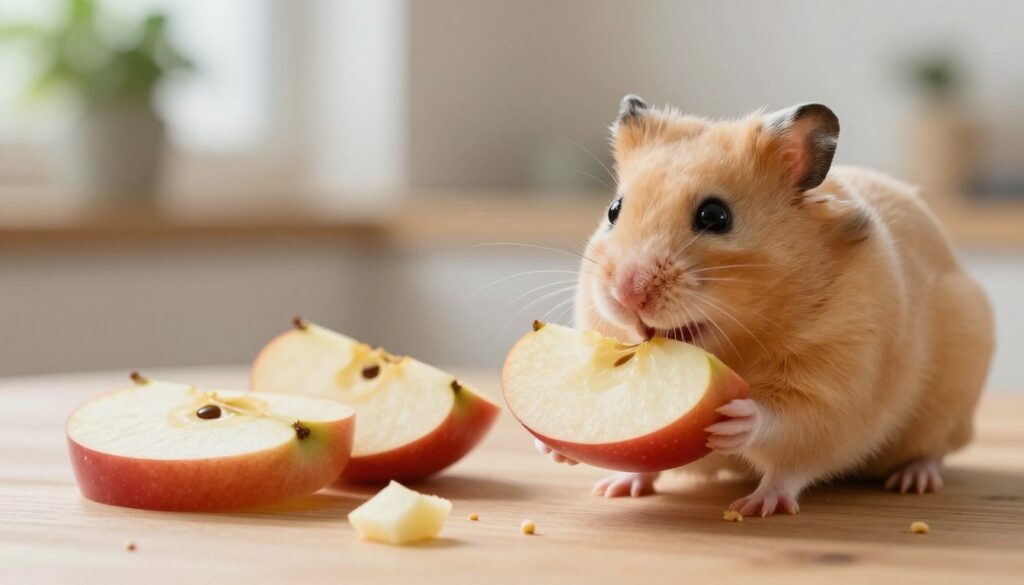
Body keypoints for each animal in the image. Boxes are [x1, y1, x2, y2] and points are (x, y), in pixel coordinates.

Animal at [537, 95, 994, 516]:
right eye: (614, 210)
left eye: (715, 216)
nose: (627, 293)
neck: (738, 340)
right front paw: (562, 453)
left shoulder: (836, 383)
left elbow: (786, 433)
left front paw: (741, 435)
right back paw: (616, 487)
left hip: (949, 401)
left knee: (932, 450)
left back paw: (909, 481)